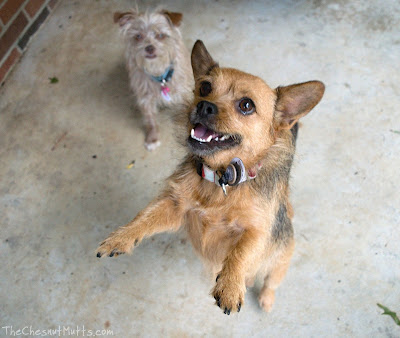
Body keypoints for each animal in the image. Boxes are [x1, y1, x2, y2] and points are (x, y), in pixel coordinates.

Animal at [97, 40, 324, 314]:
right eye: (205, 87)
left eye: (246, 105)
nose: (204, 105)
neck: (221, 179)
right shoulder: (175, 206)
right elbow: (146, 216)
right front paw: (121, 237)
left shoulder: (257, 230)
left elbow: (241, 252)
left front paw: (230, 285)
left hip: (280, 261)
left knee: (270, 281)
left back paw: (264, 298)